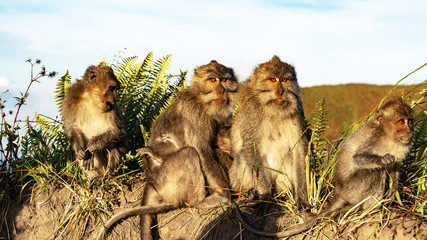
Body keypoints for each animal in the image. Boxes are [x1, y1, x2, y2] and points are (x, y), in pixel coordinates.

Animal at [229, 55, 310, 206]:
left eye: (284, 80)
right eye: (273, 80)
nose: (281, 92)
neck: (273, 110)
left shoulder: (297, 111)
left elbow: (298, 150)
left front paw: (302, 197)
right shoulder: (252, 112)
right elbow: (251, 147)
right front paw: (264, 195)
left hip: (281, 181)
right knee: (243, 155)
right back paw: (249, 192)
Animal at [232, 96, 416, 238]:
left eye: (409, 121)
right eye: (401, 121)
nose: (409, 130)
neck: (387, 135)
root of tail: (339, 191)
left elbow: (395, 168)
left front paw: (392, 197)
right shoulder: (372, 136)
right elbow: (358, 159)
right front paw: (383, 159)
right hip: (353, 189)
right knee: (375, 173)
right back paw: (370, 211)